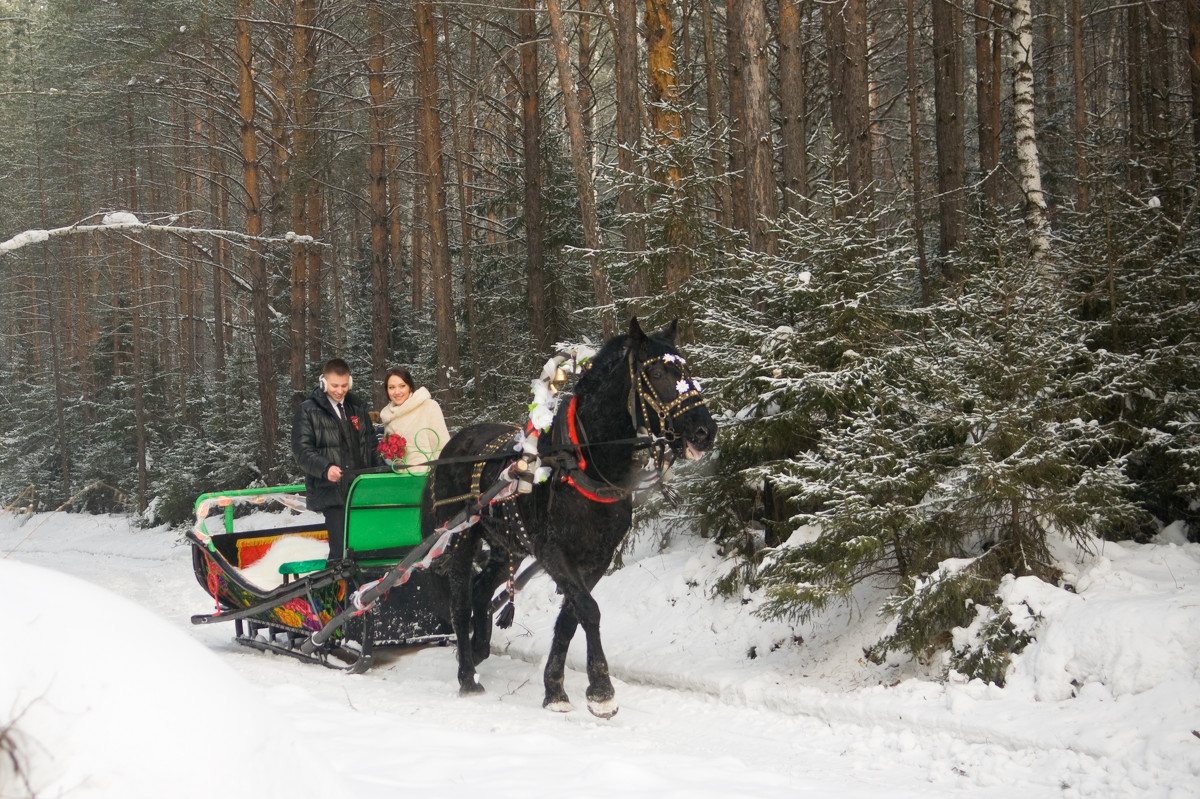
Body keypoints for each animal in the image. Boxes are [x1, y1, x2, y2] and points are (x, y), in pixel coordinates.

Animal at [427, 316, 715, 715]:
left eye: (687, 369)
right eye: (656, 372)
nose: (706, 431)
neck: (585, 462)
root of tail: (454, 443)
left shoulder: (597, 557)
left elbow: (570, 618)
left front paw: (555, 689)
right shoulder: (553, 551)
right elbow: (588, 611)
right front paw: (602, 690)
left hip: (507, 546)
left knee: (482, 588)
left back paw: (480, 647)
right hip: (461, 537)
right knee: (460, 601)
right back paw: (468, 676)